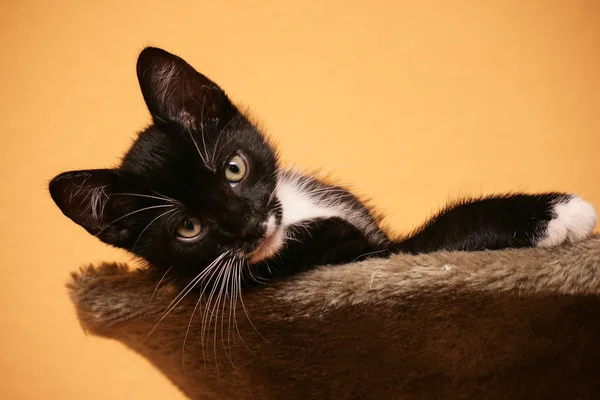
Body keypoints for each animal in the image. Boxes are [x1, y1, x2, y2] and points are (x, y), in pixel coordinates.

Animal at [47, 48, 596, 290]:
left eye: (233, 169)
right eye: (188, 228)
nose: (248, 224)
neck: (293, 220)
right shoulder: (373, 258)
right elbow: (444, 233)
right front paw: (557, 213)